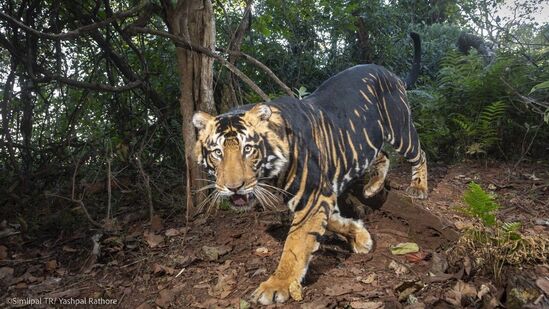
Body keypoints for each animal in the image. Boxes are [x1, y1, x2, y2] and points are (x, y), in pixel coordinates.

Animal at [191, 33, 426, 304]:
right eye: (217, 152)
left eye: (248, 149)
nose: (234, 188)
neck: (271, 176)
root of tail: (389, 72)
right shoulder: (318, 196)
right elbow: (331, 221)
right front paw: (360, 236)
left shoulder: (313, 196)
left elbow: (295, 244)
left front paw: (276, 285)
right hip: (367, 139)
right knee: (383, 154)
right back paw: (372, 187)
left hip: (400, 129)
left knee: (419, 154)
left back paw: (419, 187)